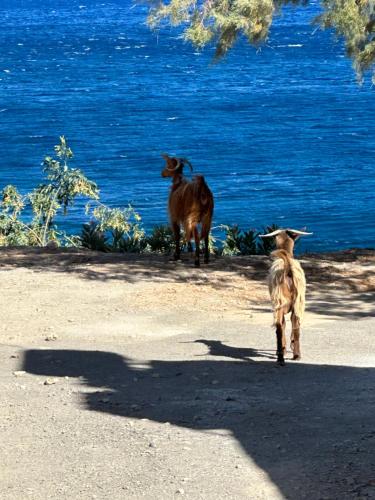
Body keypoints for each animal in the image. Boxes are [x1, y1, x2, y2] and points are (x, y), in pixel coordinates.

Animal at [260, 229, 312, 366]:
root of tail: (287, 268)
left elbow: (282, 327)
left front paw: (281, 351)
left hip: (279, 303)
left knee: (279, 327)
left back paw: (280, 358)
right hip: (298, 303)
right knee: (296, 327)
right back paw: (297, 355)